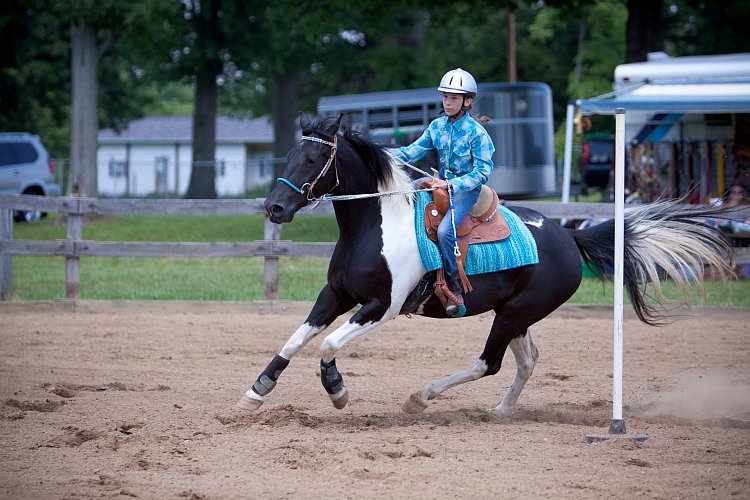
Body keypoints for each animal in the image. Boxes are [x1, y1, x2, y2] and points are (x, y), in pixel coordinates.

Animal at [239, 113, 736, 414]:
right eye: (289, 154)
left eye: (314, 158)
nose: (275, 208)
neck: (377, 225)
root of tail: (569, 236)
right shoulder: (336, 295)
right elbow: (296, 338)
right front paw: (256, 391)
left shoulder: (382, 307)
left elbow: (326, 344)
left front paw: (338, 390)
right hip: (514, 313)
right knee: (527, 360)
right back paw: (501, 411)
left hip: (514, 314)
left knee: (489, 363)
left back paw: (421, 397)